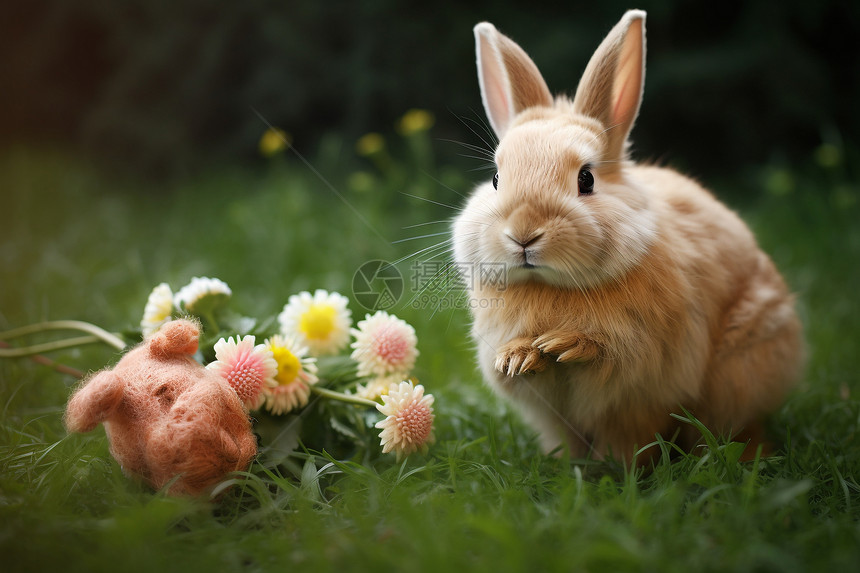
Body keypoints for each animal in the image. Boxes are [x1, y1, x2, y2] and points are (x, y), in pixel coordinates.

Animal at [450, 8, 808, 462]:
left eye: (586, 179)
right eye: (496, 179)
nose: (523, 235)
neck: (552, 285)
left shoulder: (636, 377)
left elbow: (608, 364)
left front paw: (563, 346)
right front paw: (520, 357)